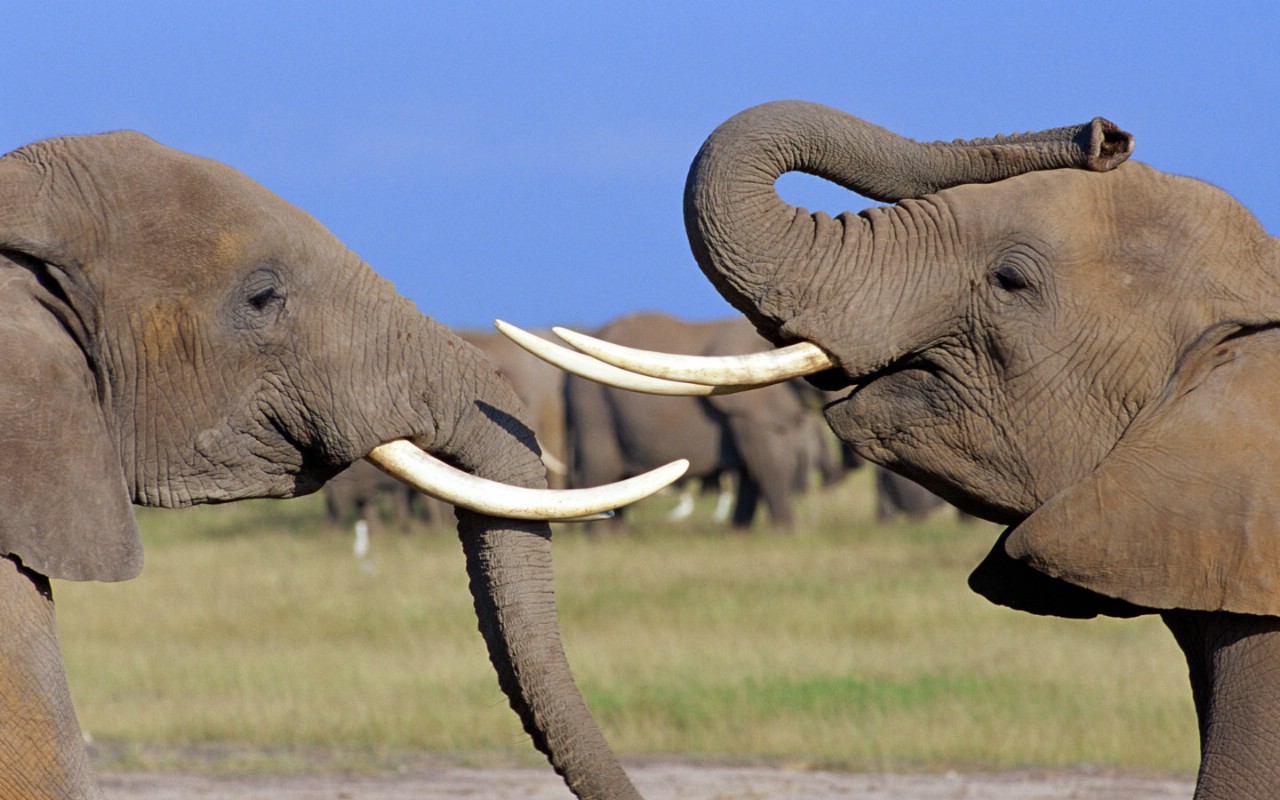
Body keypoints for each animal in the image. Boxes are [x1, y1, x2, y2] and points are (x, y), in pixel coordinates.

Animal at [565, 312, 844, 529]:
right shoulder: (746, 407)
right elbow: (767, 459)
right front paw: (785, 531)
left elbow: (754, 466)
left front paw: (740, 533)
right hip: (593, 406)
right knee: (600, 469)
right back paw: (605, 540)